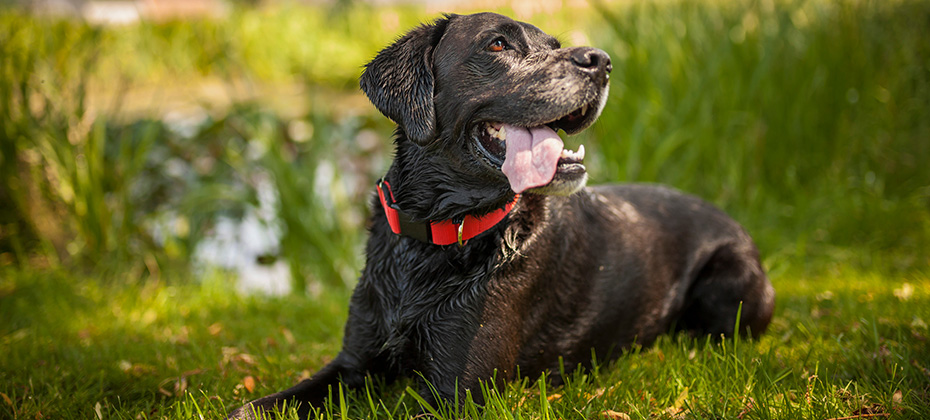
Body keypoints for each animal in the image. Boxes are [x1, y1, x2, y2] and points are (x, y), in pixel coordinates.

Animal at [228, 11, 772, 418]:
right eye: (497, 45)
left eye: (554, 44)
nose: (601, 61)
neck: (434, 239)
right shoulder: (352, 363)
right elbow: (257, 406)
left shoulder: (454, 394)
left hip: (730, 289)